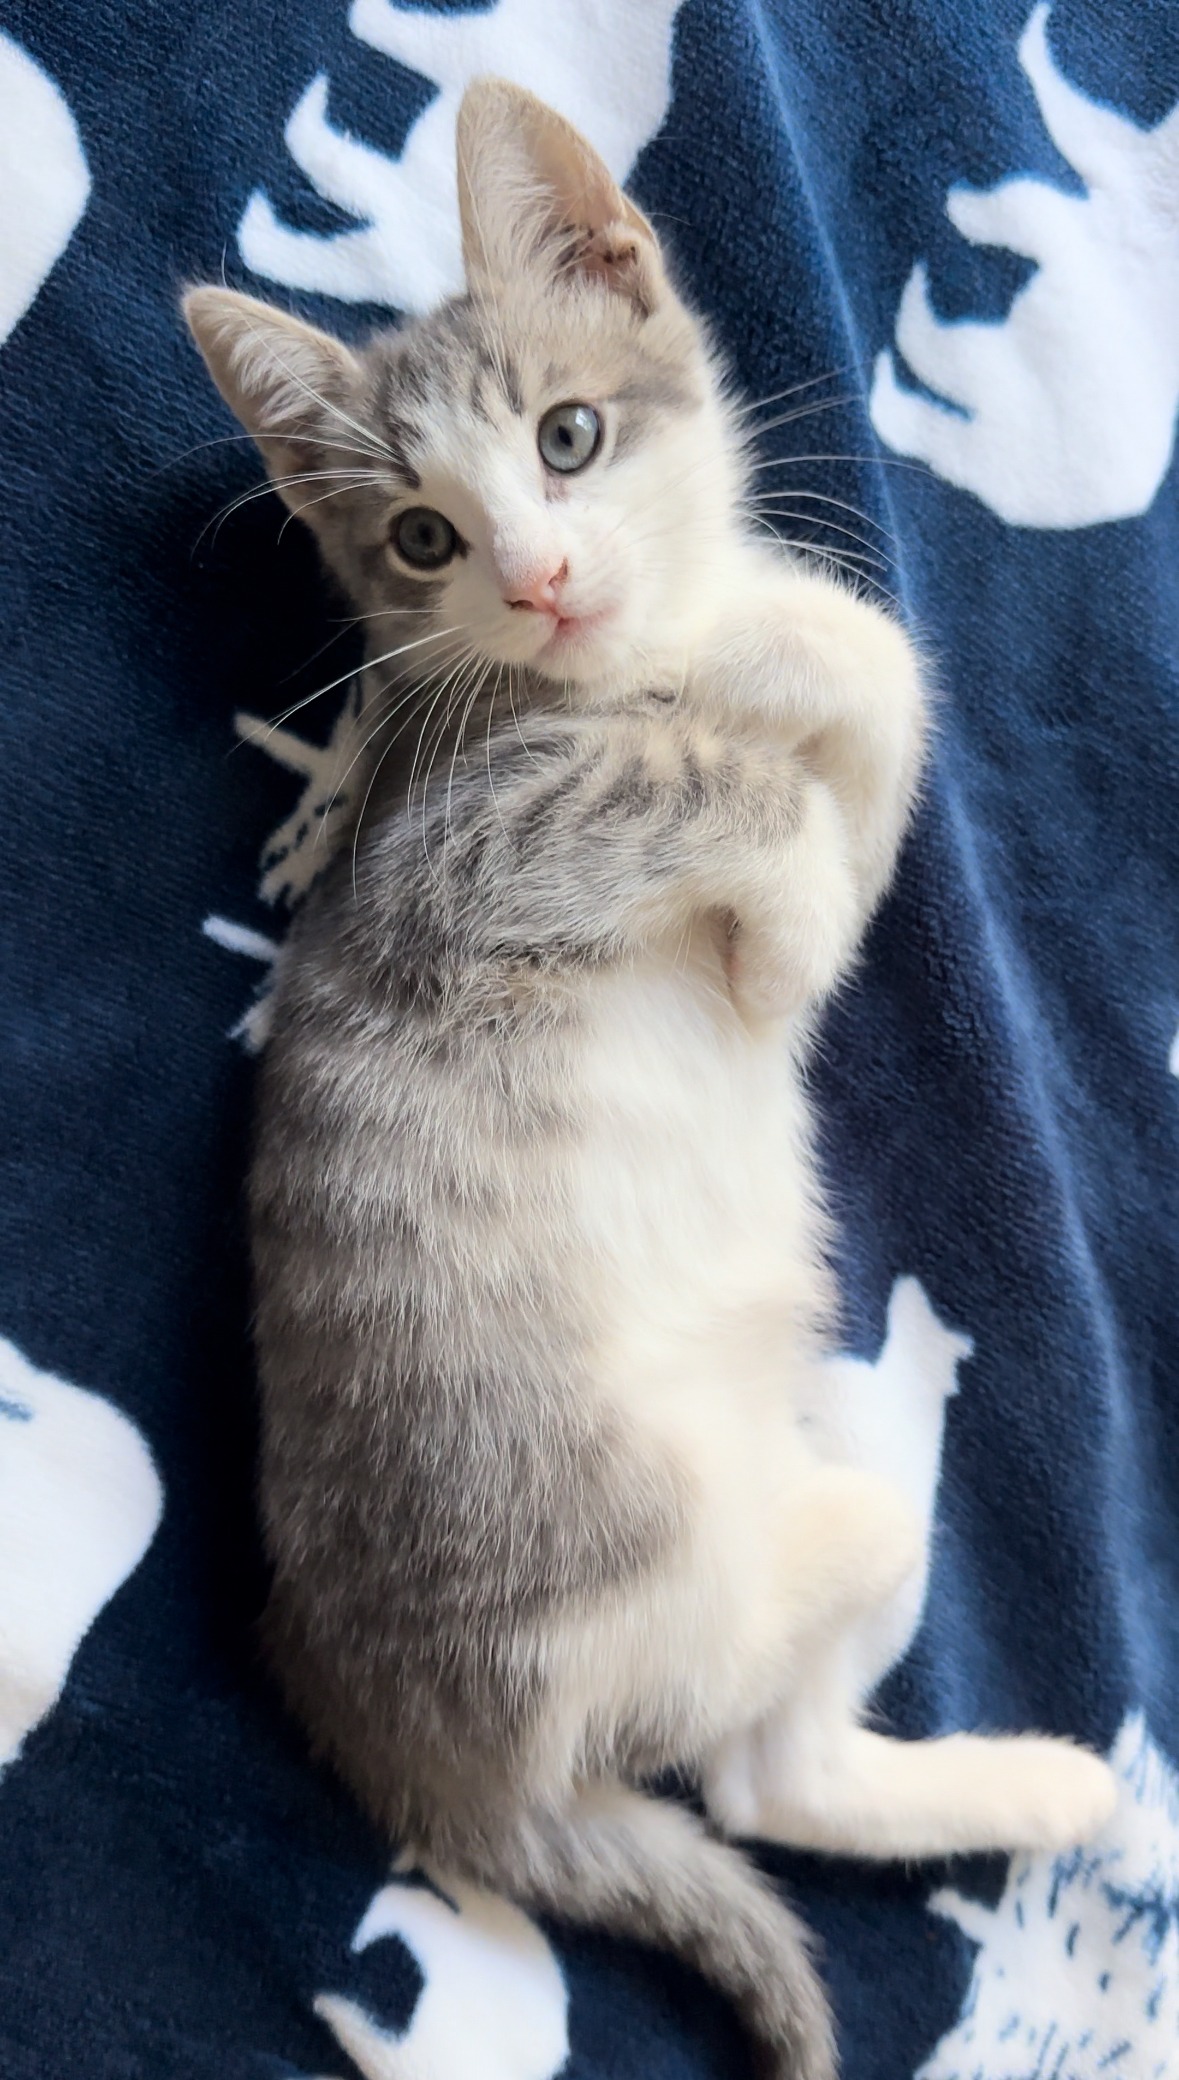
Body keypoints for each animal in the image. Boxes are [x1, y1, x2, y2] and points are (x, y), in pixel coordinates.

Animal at [185, 79, 1117, 2080]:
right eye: (418, 539)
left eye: (568, 435)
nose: (538, 583)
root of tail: (428, 1768)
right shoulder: (457, 853)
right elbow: (749, 771)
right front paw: (753, 832)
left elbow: (869, 683)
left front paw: (774, 714)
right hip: (709, 1551)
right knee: (751, 1774)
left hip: (825, 1459)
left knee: (775, 1771)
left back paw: (1042, 1793)